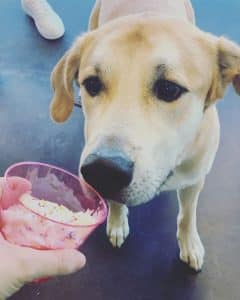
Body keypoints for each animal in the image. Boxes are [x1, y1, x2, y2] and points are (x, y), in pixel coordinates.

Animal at [49, 0, 240, 272]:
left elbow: (187, 215)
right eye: (92, 84)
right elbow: (115, 203)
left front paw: (189, 243)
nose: (103, 171)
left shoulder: (195, 180)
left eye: (169, 89)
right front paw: (117, 221)